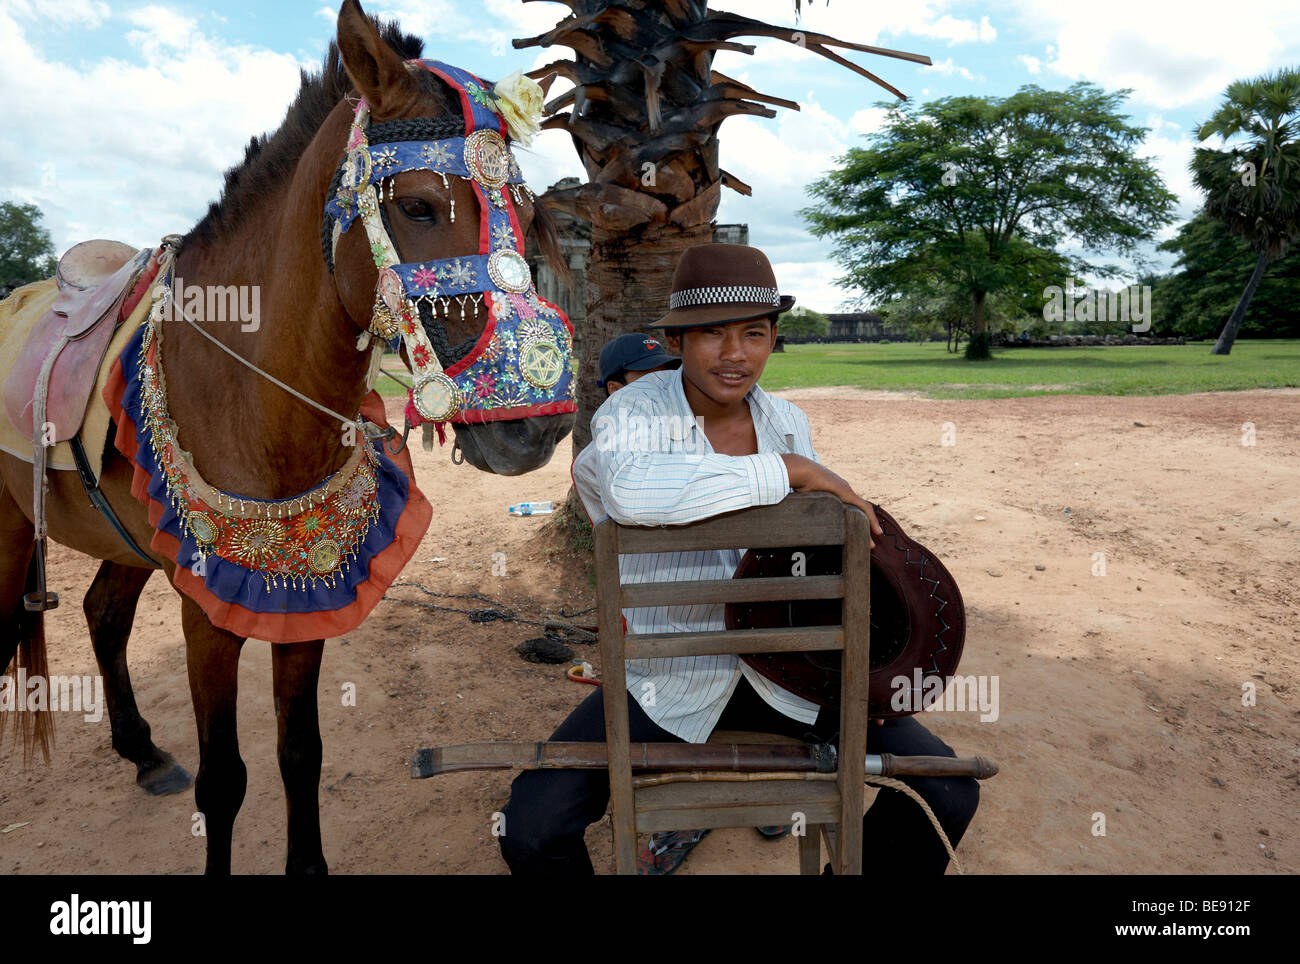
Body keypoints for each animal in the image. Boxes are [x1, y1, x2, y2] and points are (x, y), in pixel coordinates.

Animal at [0, 0, 574, 878]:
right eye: (416, 205)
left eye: (526, 209)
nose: (536, 423)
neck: (251, 395)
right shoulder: (208, 613)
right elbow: (225, 780)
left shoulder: (307, 592)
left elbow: (300, 753)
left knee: (102, 613)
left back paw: (143, 753)